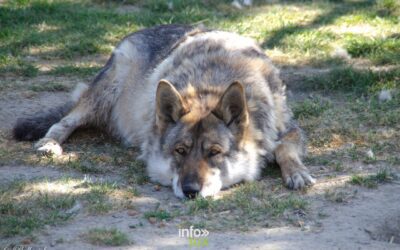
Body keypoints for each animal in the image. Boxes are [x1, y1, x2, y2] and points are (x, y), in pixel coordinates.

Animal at [14, 24, 316, 198]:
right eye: (180, 151)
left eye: (214, 153)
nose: (190, 191)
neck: (210, 85)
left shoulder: (288, 128)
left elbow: (284, 148)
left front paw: (296, 173)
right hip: (102, 96)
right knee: (64, 121)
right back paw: (50, 144)